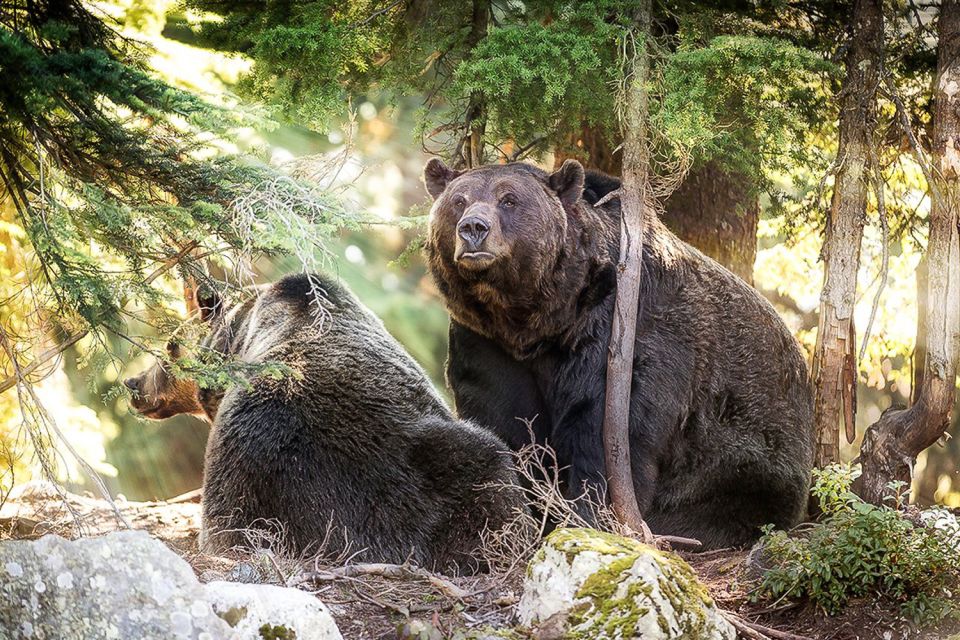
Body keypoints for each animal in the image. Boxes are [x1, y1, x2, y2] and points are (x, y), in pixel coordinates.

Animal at [424, 160, 812, 552]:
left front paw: (589, 514)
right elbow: (503, 419)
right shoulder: (486, 342)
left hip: (745, 450)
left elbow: (603, 428)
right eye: (459, 200)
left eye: (509, 199)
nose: (473, 228)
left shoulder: (618, 330)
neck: (538, 320)